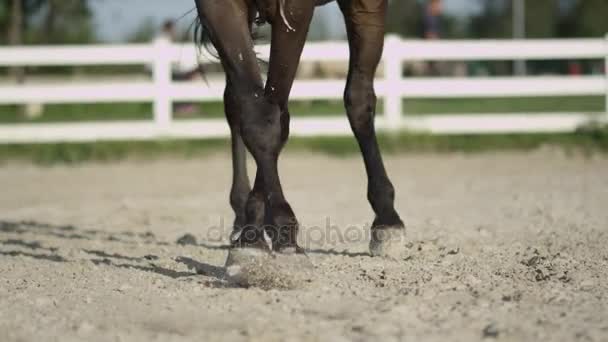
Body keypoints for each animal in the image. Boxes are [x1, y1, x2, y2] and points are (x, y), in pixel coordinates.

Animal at [194, 0, 404, 260]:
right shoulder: (216, 7)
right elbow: (259, 116)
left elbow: (271, 118)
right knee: (237, 102)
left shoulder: (301, 9)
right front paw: (258, 233)